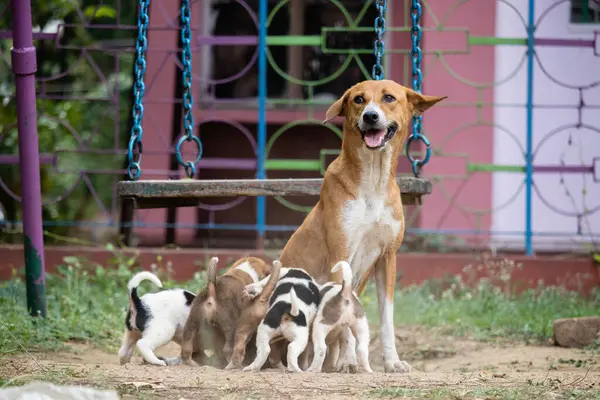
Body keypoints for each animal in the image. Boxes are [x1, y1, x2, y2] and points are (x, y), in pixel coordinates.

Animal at [278, 79, 446, 372]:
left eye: (388, 98)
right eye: (358, 99)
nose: (370, 116)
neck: (373, 181)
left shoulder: (388, 258)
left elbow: (386, 318)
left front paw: (392, 362)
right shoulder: (341, 254)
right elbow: (343, 320)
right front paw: (348, 360)